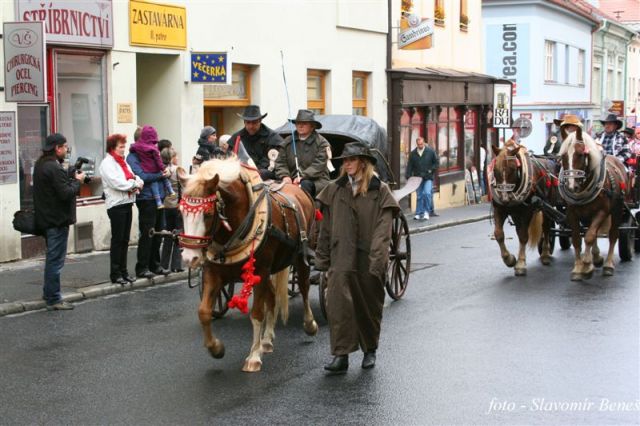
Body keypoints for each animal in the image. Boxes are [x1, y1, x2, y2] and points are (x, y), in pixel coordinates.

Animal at [175, 158, 318, 372]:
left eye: (207, 214)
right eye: (180, 211)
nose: (189, 258)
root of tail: (297, 187)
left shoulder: (260, 271)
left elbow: (257, 313)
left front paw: (253, 357)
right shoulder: (213, 273)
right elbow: (203, 312)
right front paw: (216, 348)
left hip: (300, 258)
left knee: (304, 287)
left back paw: (309, 324)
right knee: (273, 297)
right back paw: (266, 341)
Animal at [490, 138, 560, 274]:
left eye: (513, 169)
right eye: (495, 170)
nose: (504, 198)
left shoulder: (527, 211)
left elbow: (523, 236)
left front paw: (521, 264)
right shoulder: (500, 209)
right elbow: (499, 234)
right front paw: (509, 259)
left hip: (547, 207)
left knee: (546, 228)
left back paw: (545, 254)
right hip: (516, 214)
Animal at [556, 131, 628, 282]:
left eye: (580, 154)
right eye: (563, 156)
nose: (571, 186)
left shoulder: (602, 212)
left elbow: (589, 236)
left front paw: (587, 265)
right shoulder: (572, 213)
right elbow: (577, 239)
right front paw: (578, 268)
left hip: (617, 210)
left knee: (613, 235)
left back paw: (608, 265)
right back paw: (597, 257)